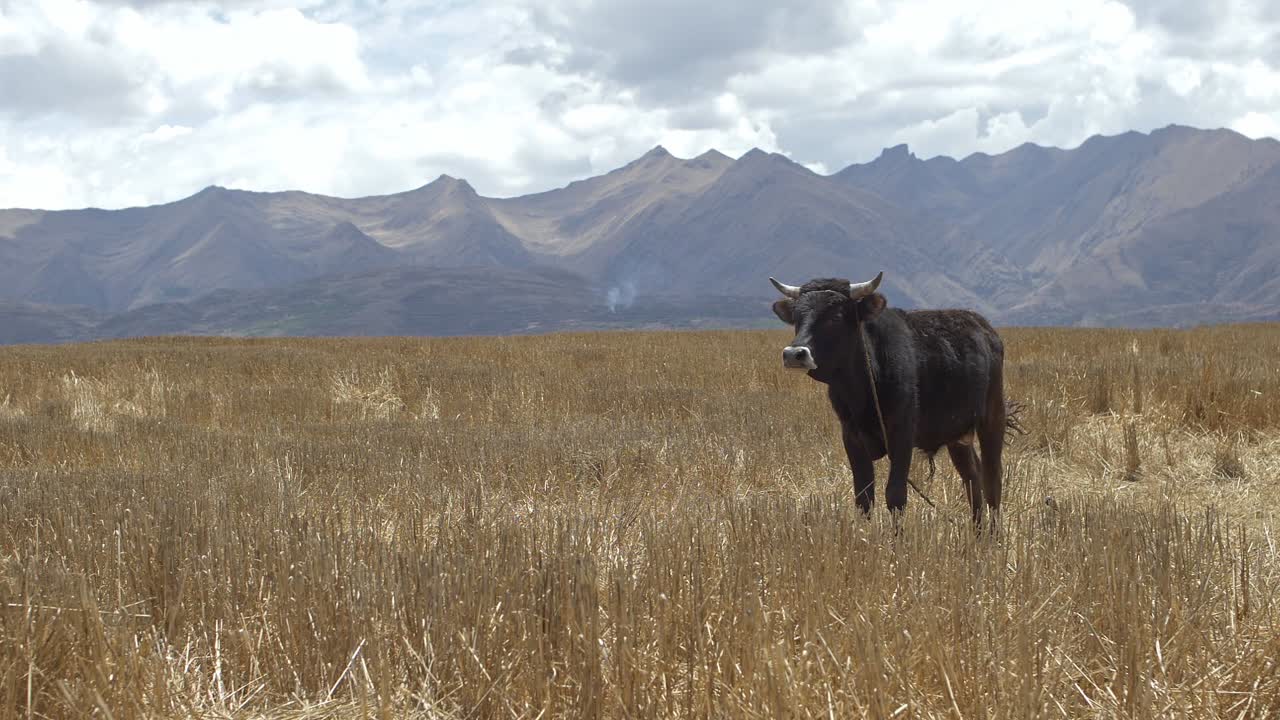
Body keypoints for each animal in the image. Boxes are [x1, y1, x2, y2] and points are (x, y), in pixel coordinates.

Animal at [768, 271, 1007, 526]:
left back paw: (993, 532)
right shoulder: (852, 437)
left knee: (992, 477)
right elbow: (863, 497)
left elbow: (895, 495)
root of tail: (985, 328)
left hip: (992, 417)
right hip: (957, 435)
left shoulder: (902, 435)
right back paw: (977, 531)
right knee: (972, 476)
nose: (794, 354)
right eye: (797, 316)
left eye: (836, 316)